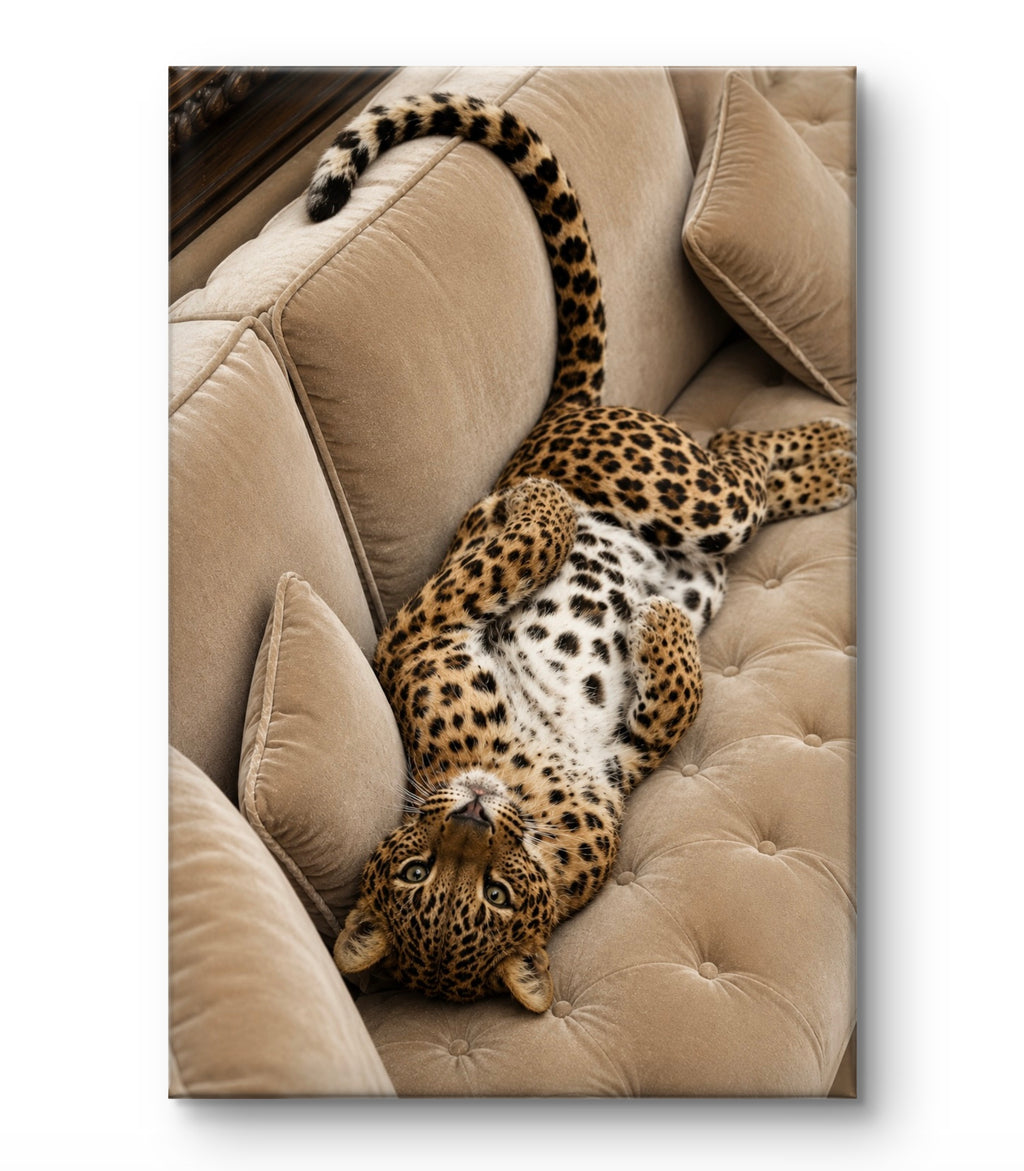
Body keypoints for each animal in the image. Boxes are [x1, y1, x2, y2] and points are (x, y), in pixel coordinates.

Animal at [306, 92, 856, 1012]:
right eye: (426, 878)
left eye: (489, 890)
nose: (472, 813)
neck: (519, 785)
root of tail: (557, 415)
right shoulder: (618, 770)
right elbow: (672, 710)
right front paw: (661, 630)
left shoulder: (418, 637)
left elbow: (518, 544)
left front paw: (527, 507)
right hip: (704, 521)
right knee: (741, 473)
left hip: (675, 487)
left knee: (737, 453)